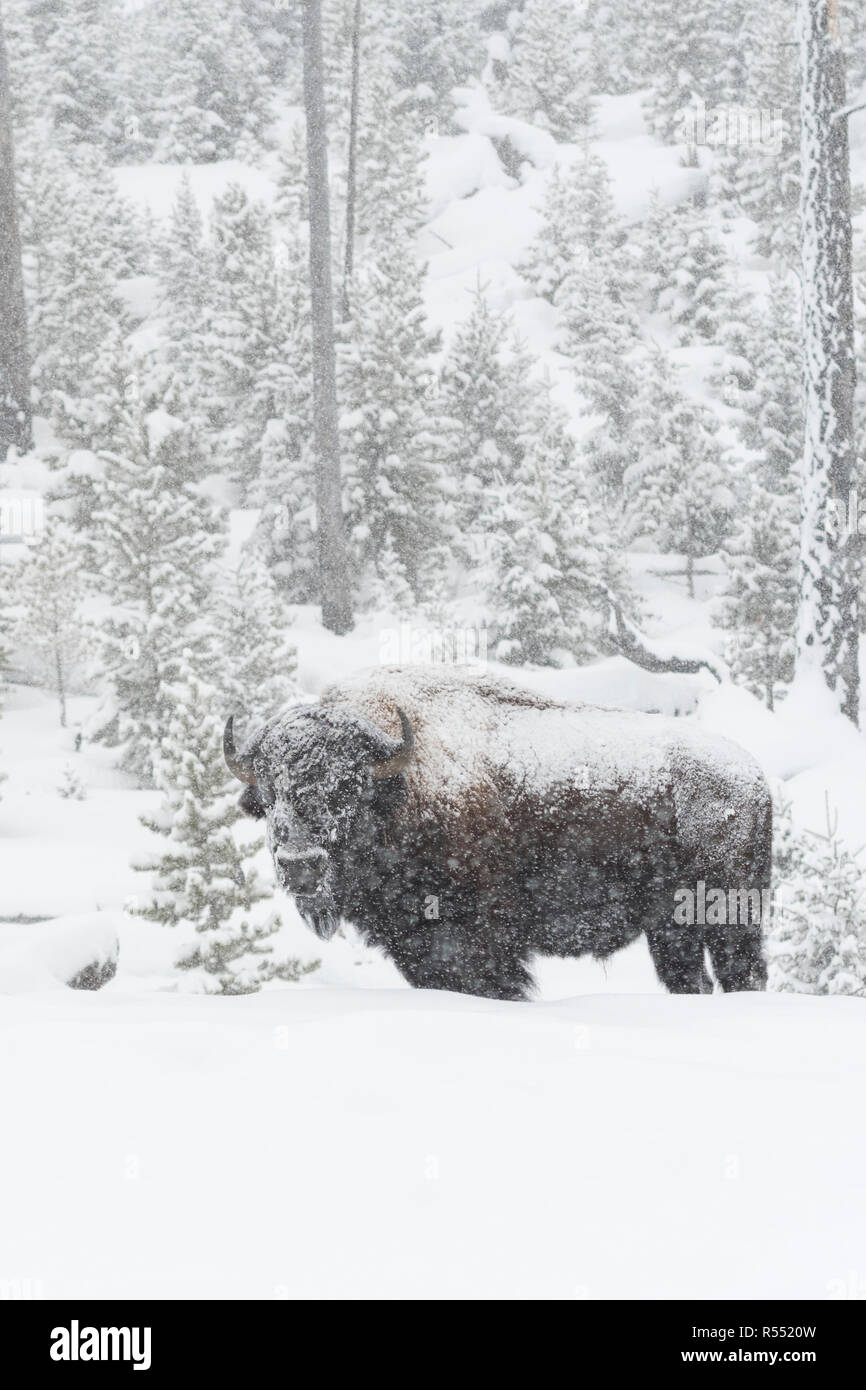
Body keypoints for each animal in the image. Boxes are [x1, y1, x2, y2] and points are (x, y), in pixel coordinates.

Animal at [223, 664, 772, 1000]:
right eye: (270, 792)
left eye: (349, 788)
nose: (300, 864)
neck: (402, 782)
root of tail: (752, 776)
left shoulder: (476, 941)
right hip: (671, 929)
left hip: (728, 915)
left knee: (742, 972)